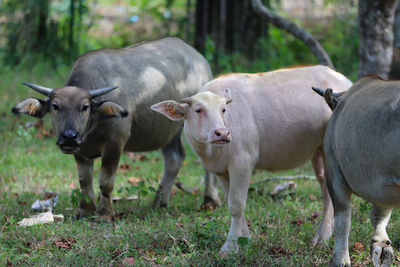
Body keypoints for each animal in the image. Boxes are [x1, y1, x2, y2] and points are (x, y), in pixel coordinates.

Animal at [12, 37, 219, 222]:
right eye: (55, 106)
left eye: (85, 107)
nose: (69, 136)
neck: (94, 122)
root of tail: (200, 60)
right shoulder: (80, 150)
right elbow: (84, 181)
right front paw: (85, 211)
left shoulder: (114, 145)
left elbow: (106, 181)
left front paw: (104, 214)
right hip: (169, 130)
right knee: (174, 158)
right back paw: (159, 202)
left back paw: (210, 201)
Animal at [151, 65, 354, 255]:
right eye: (198, 110)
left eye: (223, 109)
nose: (222, 133)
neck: (212, 151)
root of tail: (343, 80)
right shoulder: (221, 171)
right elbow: (233, 204)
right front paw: (244, 240)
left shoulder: (242, 163)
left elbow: (237, 205)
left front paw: (230, 246)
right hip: (318, 152)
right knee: (326, 190)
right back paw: (325, 234)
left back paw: (323, 236)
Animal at [316, 76, 400, 267]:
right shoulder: (384, 185)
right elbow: (380, 215)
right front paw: (381, 246)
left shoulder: (334, 172)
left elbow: (343, 220)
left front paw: (340, 259)